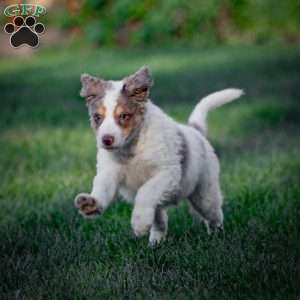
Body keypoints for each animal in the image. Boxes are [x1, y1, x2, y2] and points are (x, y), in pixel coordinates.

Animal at [74, 67, 244, 245]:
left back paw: (216, 235)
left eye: (124, 116)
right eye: (97, 117)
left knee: (214, 214)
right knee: (159, 219)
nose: (106, 140)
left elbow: (145, 191)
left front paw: (139, 223)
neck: (132, 149)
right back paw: (155, 243)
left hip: (205, 194)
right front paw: (90, 204)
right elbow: (102, 189)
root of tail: (196, 131)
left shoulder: (166, 172)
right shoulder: (108, 172)